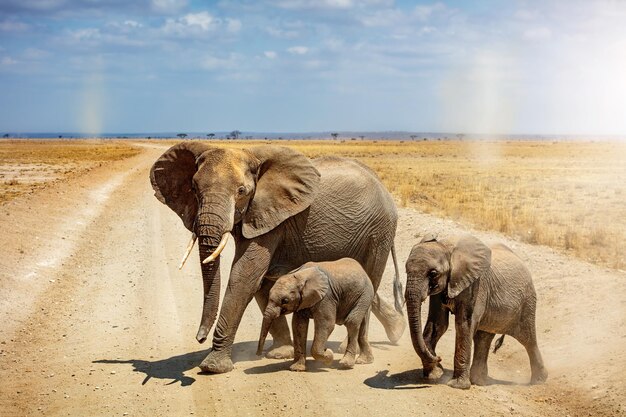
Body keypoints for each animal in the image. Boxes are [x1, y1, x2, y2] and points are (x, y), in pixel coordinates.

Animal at [151, 141, 404, 372]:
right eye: (194, 188)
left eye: (241, 192)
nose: (199, 337)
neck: (251, 155)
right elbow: (262, 281)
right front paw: (280, 354)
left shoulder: (271, 217)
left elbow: (245, 276)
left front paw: (213, 367)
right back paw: (396, 331)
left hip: (378, 232)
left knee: (371, 278)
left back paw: (350, 350)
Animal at [404, 232, 544, 388]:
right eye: (405, 269)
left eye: (433, 273)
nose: (438, 358)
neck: (447, 248)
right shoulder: (441, 289)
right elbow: (438, 324)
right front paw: (434, 375)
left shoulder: (475, 285)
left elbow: (464, 325)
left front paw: (457, 386)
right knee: (483, 338)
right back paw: (479, 381)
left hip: (527, 302)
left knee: (528, 339)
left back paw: (539, 381)